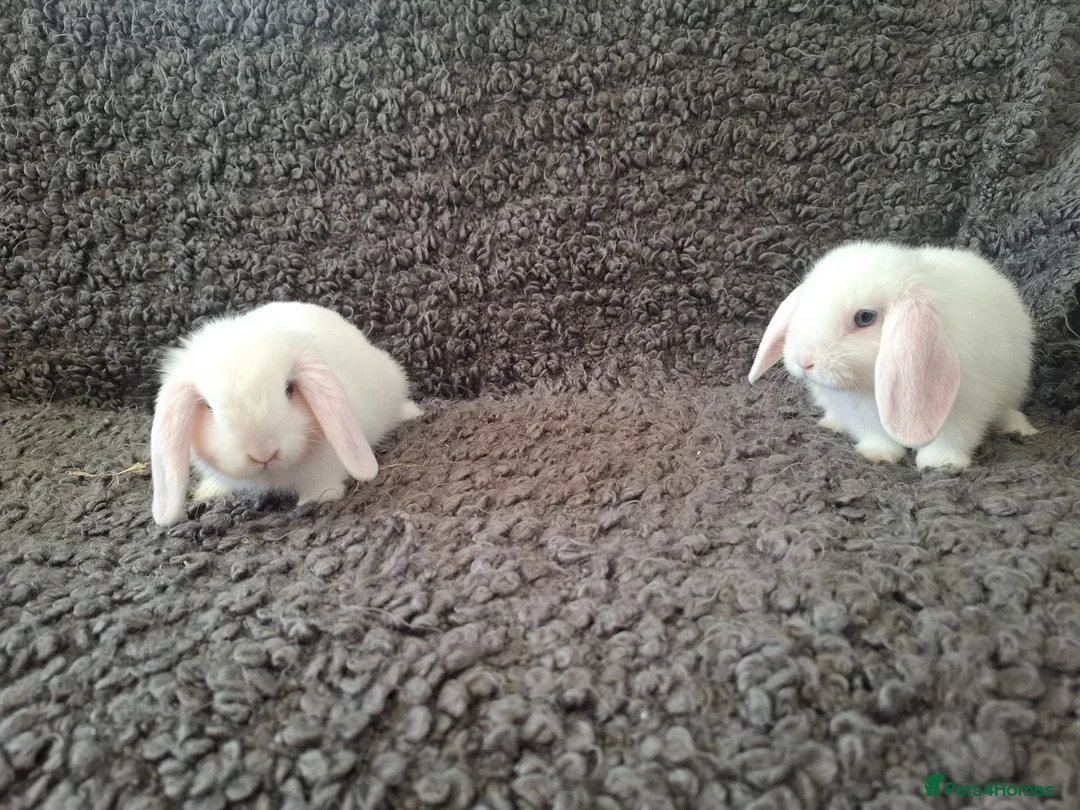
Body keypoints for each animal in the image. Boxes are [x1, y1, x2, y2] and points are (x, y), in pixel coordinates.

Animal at [150, 301, 423, 527]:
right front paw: (207, 492)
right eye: (208, 407)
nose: (263, 454)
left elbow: (322, 483)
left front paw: (318, 499)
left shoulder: (326, 463)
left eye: (289, 389)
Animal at [747, 240, 1038, 470]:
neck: (870, 386)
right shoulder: (860, 414)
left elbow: (952, 437)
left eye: (864, 318)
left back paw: (1016, 426)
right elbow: (876, 436)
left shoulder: (964, 406)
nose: (803, 361)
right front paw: (878, 455)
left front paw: (941, 464)